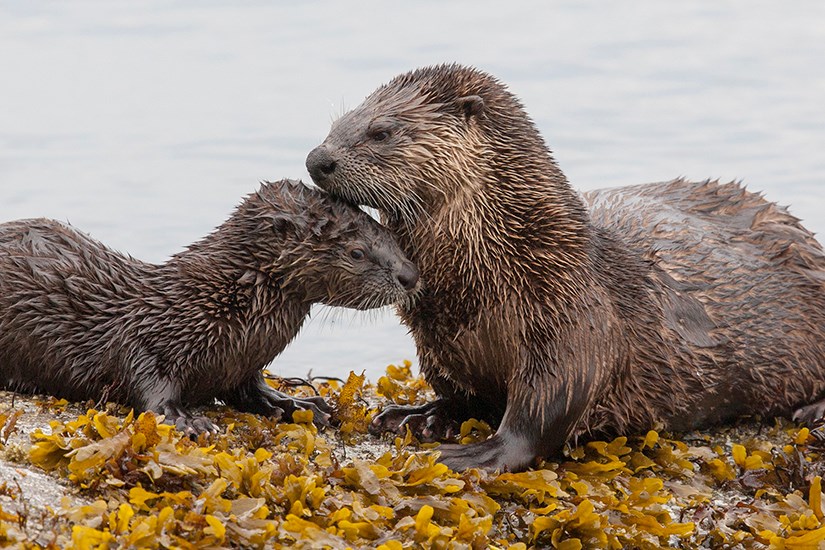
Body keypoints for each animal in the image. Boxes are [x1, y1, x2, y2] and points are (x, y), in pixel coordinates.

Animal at [0, 180, 418, 436]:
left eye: (389, 233)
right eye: (357, 252)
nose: (411, 275)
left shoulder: (241, 363)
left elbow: (251, 389)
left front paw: (299, 402)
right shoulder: (147, 337)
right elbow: (148, 382)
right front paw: (186, 420)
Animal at [306, 62, 824, 472]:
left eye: (381, 131)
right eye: (337, 124)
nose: (318, 158)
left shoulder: (571, 310)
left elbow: (550, 401)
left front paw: (482, 452)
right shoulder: (438, 338)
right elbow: (461, 393)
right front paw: (421, 415)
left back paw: (811, 413)